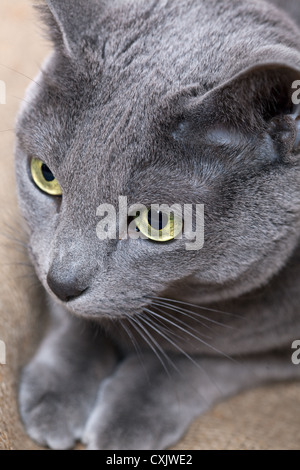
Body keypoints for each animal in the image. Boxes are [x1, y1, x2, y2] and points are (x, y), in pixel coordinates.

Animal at [15, 0, 300, 450]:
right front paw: (56, 392)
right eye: (45, 174)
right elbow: (72, 318)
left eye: (158, 222)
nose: (63, 282)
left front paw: (127, 419)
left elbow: (209, 359)